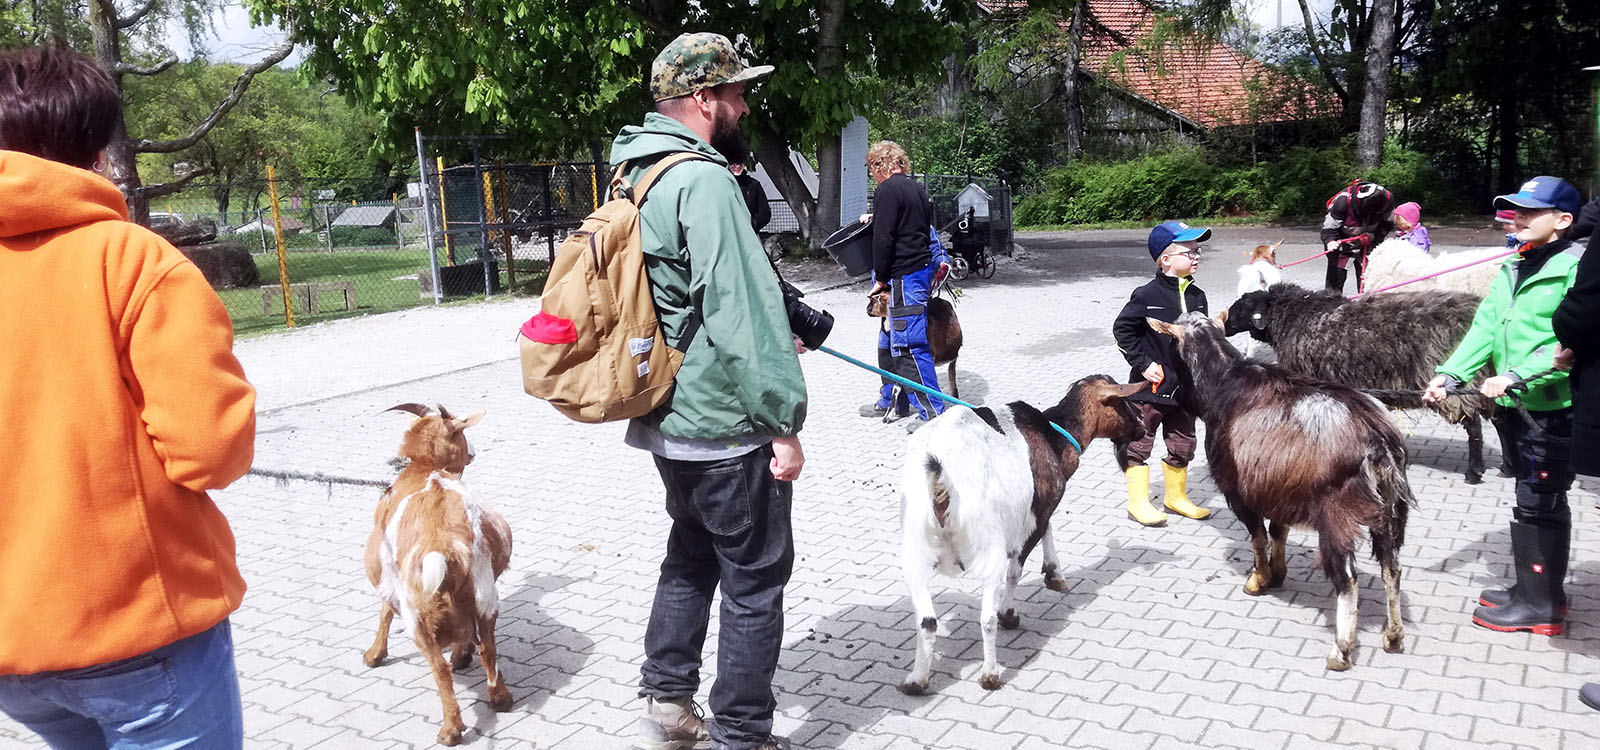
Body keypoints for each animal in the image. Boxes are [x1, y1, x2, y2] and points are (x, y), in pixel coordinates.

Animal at [363, 402, 512, 742]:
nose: (473, 453)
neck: (426, 469)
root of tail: (443, 547)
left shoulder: (387, 579)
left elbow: (384, 610)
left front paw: (374, 654)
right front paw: (463, 654)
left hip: (417, 616)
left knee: (439, 668)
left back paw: (451, 730)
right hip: (484, 594)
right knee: (488, 648)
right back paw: (499, 697)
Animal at [902, 377, 1152, 694]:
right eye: (1124, 399)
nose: (1143, 425)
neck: (1054, 433)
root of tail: (941, 481)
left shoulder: (1037, 508)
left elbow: (1049, 527)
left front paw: (1054, 573)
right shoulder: (1036, 513)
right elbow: (1018, 567)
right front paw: (1012, 611)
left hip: (915, 552)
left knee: (927, 621)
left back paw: (916, 680)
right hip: (988, 549)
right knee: (986, 618)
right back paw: (990, 674)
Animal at [1152, 313, 1414, 668]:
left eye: (1171, 344)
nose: (1171, 394)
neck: (1224, 381)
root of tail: (1378, 441)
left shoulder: (1238, 490)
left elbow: (1258, 536)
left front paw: (1258, 580)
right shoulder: (1280, 489)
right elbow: (1278, 531)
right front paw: (1277, 574)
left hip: (1336, 514)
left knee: (1348, 577)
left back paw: (1341, 650)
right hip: (1389, 512)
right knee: (1392, 568)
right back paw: (1393, 636)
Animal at [1228, 283, 1491, 482]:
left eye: (1243, 306)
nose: (1225, 325)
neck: (1295, 315)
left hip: (1453, 383)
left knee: (1474, 424)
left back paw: (1474, 472)